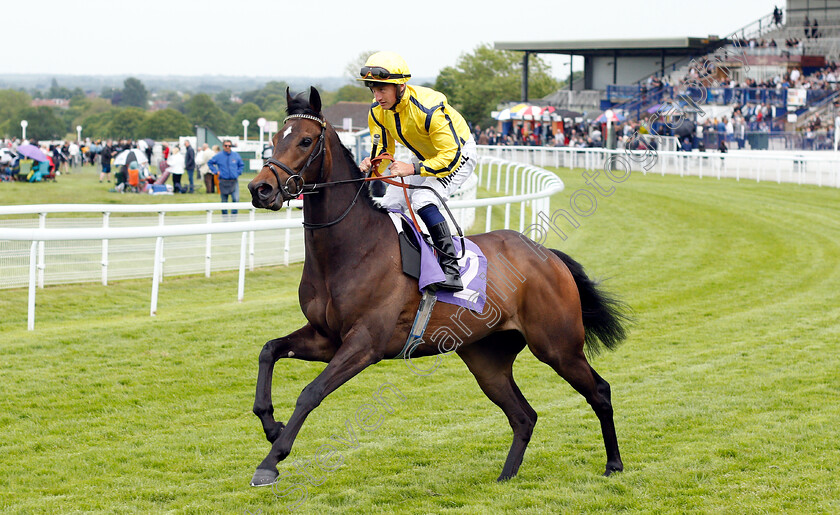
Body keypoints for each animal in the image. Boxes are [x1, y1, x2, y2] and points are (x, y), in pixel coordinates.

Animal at [246, 87, 628, 488]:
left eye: (305, 140)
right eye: (275, 138)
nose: (261, 189)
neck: (352, 247)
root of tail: (547, 255)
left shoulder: (365, 344)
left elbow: (311, 392)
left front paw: (270, 461)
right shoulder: (326, 337)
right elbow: (269, 350)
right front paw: (271, 424)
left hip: (558, 346)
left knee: (599, 391)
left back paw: (614, 464)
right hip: (487, 358)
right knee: (524, 416)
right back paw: (506, 476)